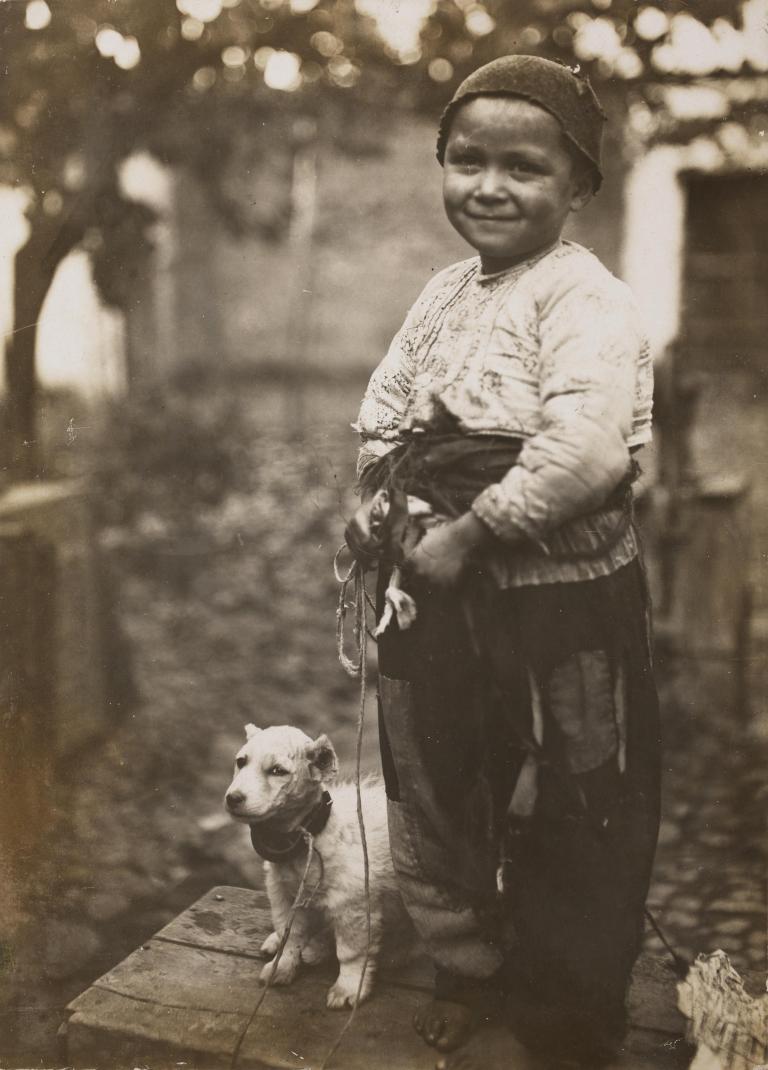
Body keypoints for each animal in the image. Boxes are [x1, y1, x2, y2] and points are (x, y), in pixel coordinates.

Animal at [225, 723, 412, 1005]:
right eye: (241, 761)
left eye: (277, 770)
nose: (233, 798)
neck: (307, 840)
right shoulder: (284, 894)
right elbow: (289, 935)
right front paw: (282, 966)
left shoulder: (353, 906)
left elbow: (351, 952)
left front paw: (348, 988)